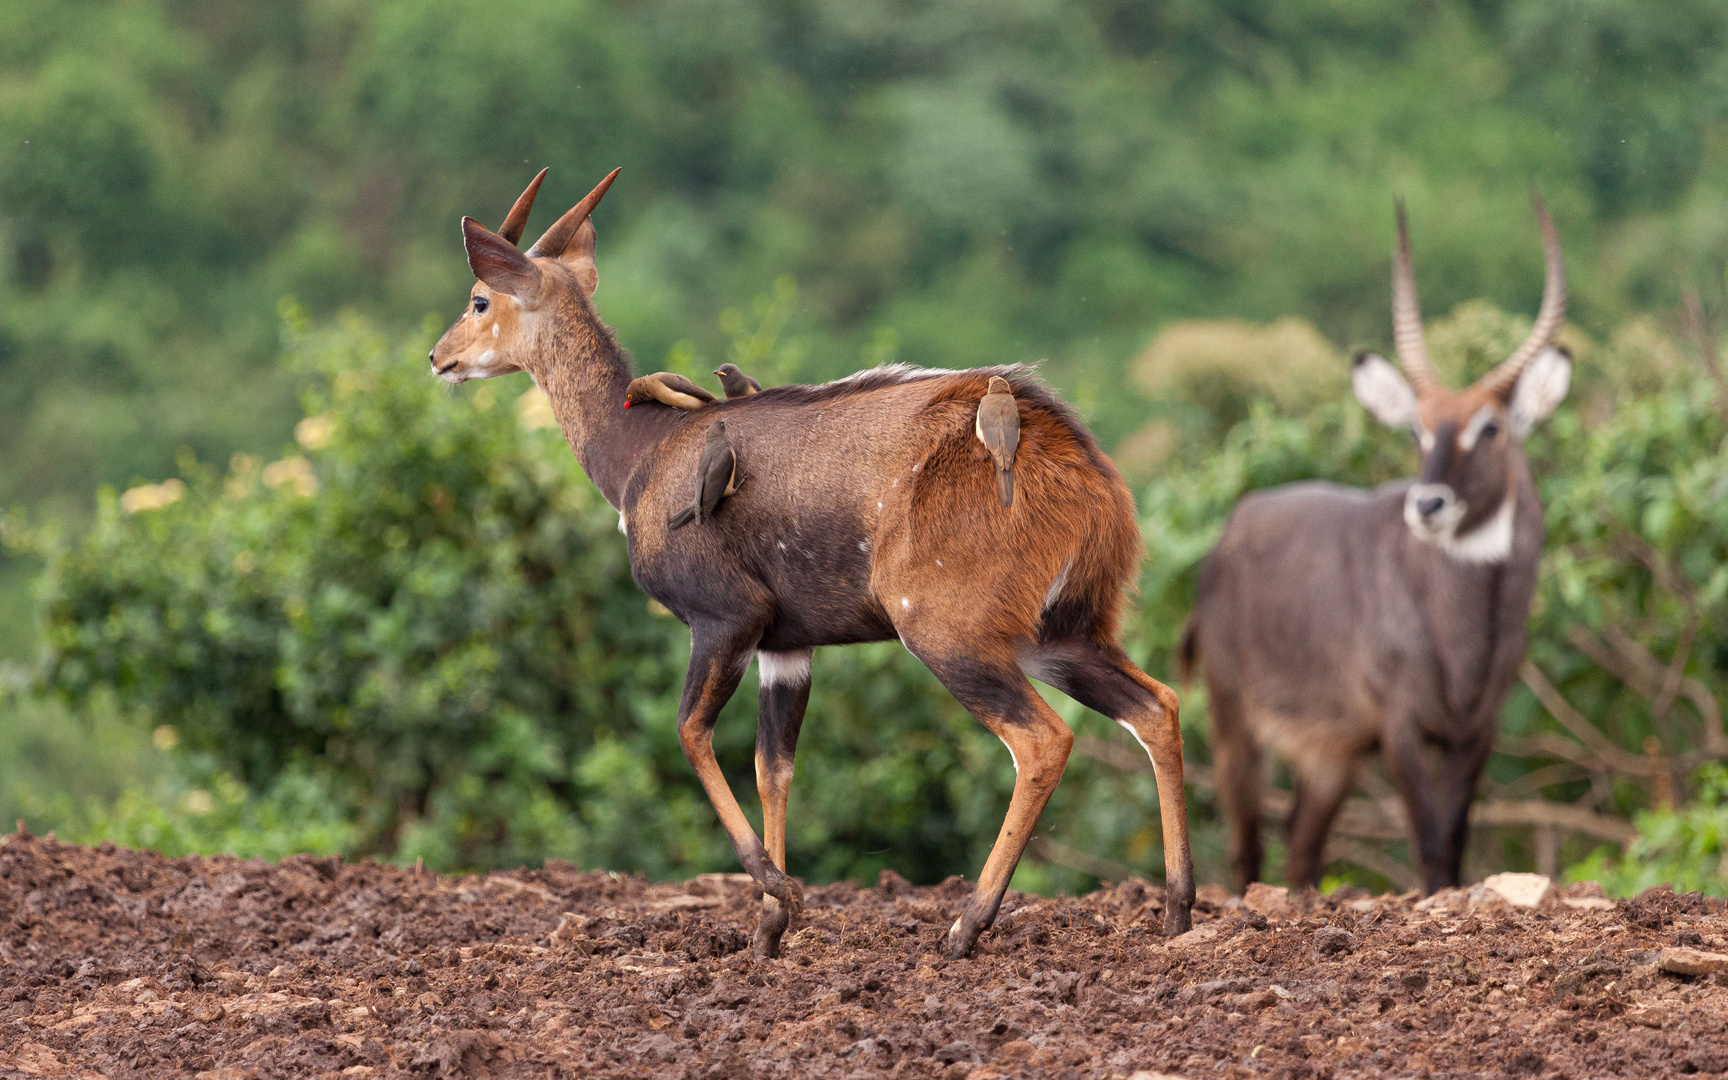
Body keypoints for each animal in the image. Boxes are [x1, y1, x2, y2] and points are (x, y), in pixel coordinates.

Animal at [425, 166, 1195, 953]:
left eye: (479, 298)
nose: (438, 357)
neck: (637, 453)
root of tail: (1081, 472)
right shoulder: (786, 646)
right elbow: (775, 765)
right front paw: (772, 929)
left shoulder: (725, 617)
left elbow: (692, 733)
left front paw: (777, 891)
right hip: (1064, 631)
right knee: (1157, 705)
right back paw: (1175, 912)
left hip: (948, 632)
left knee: (1043, 739)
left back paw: (966, 925)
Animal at [1181, 193, 1575, 891]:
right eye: (1419, 429)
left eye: (1490, 427)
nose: (1427, 504)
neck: (1465, 632)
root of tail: (1228, 535)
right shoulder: (1401, 725)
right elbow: (1430, 838)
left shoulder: (1477, 728)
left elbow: (1457, 835)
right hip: (1234, 723)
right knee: (1246, 838)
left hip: (1332, 753)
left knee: (1301, 839)